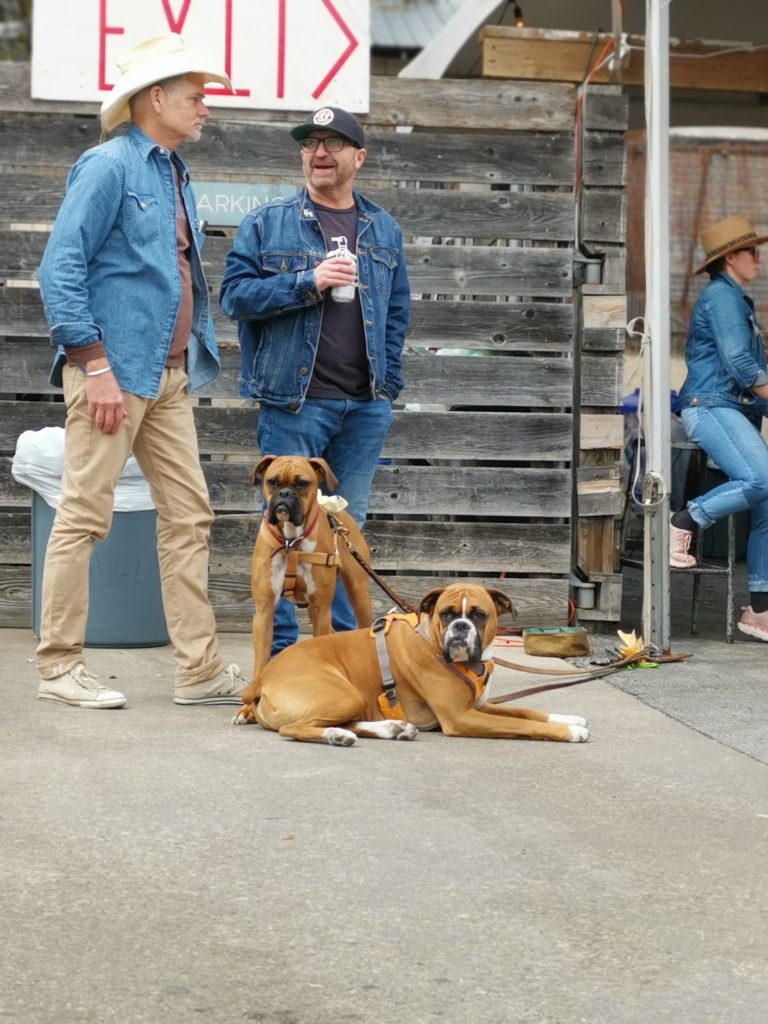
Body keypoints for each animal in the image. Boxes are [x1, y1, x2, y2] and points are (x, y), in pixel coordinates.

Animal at [233, 585, 589, 745]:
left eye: (478, 614)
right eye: (446, 613)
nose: (460, 627)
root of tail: (264, 676)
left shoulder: (478, 706)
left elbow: (526, 711)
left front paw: (570, 719)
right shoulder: (462, 718)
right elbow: (523, 724)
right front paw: (569, 731)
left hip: (351, 699)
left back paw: (391, 728)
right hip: (345, 694)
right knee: (294, 728)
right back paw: (336, 735)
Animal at [249, 454, 372, 679]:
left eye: (302, 483)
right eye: (272, 481)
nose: (285, 493)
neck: (291, 542)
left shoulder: (320, 608)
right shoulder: (264, 610)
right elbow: (261, 660)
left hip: (358, 595)